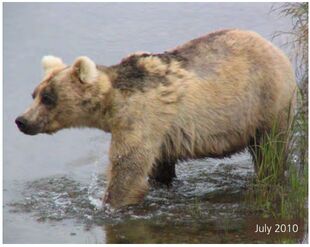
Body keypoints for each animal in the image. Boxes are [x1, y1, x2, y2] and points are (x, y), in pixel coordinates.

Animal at [15, 29, 296, 209]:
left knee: (270, 151)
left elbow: (128, 169)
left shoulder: (139, 118)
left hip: (266, 101)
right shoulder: (160, 133)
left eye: (48, 98)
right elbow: (158, 166)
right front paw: (160, 184)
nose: (21, 120)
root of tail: (275, 49)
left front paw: (108, 204)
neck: (113, 104)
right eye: (34, 94)